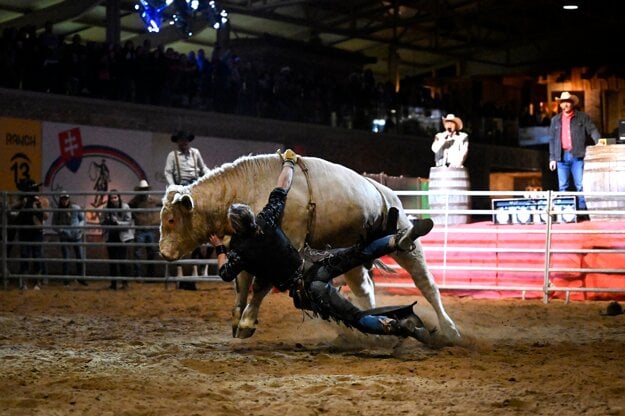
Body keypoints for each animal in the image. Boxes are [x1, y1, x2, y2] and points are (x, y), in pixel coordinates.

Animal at [158, 153, 460, 344]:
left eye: (171, 219)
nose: (163, 253)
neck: (248, 186)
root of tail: (382, 189)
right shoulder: (241, 248)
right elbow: (241, 283)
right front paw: (235, 318)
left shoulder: (286, 239)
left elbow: (261, 285)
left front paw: (246, 323)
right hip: (350, 247)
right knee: (364, 290)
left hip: (404, 238)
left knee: (426, 283)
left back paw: (450, 329)